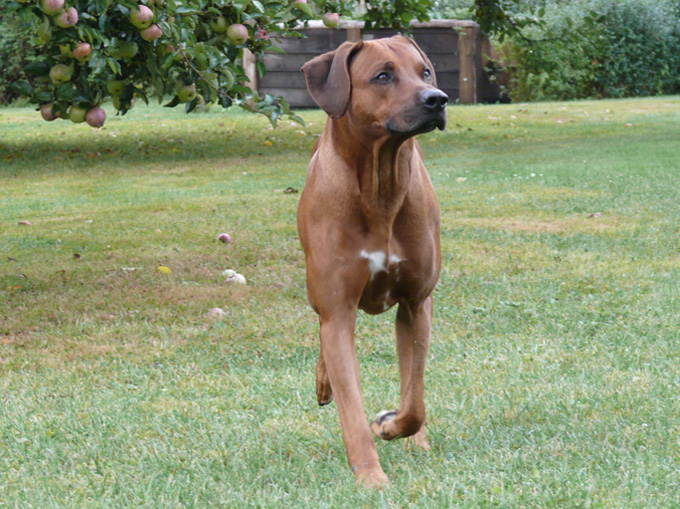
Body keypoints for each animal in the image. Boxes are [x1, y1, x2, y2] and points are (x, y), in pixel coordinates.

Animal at [298, 35, 447, 486]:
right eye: (382, 76)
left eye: (425, 71)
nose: (438, 99)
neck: (381, 187)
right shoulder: (338, 310)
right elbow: (351, 404)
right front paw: (370, 476)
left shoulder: (417, 304)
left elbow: (414, 398)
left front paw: (392, 425)